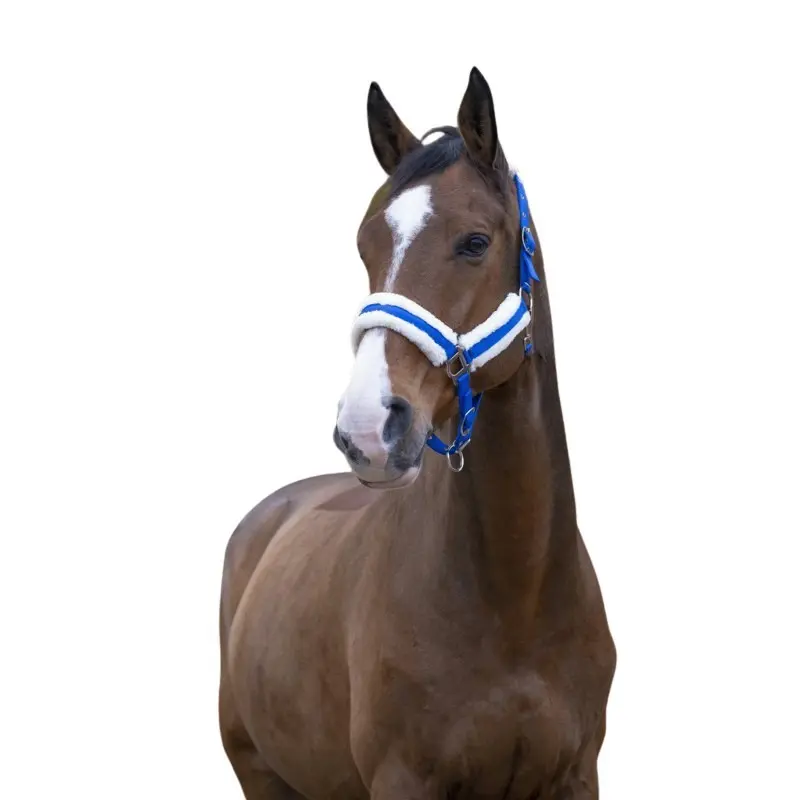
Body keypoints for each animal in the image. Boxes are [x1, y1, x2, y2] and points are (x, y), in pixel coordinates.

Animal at [218, 67, 616, 800]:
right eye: (364, 244)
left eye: (475, 242)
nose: (367, 427)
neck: (518, 599)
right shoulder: (404, 779)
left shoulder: (578, 775)